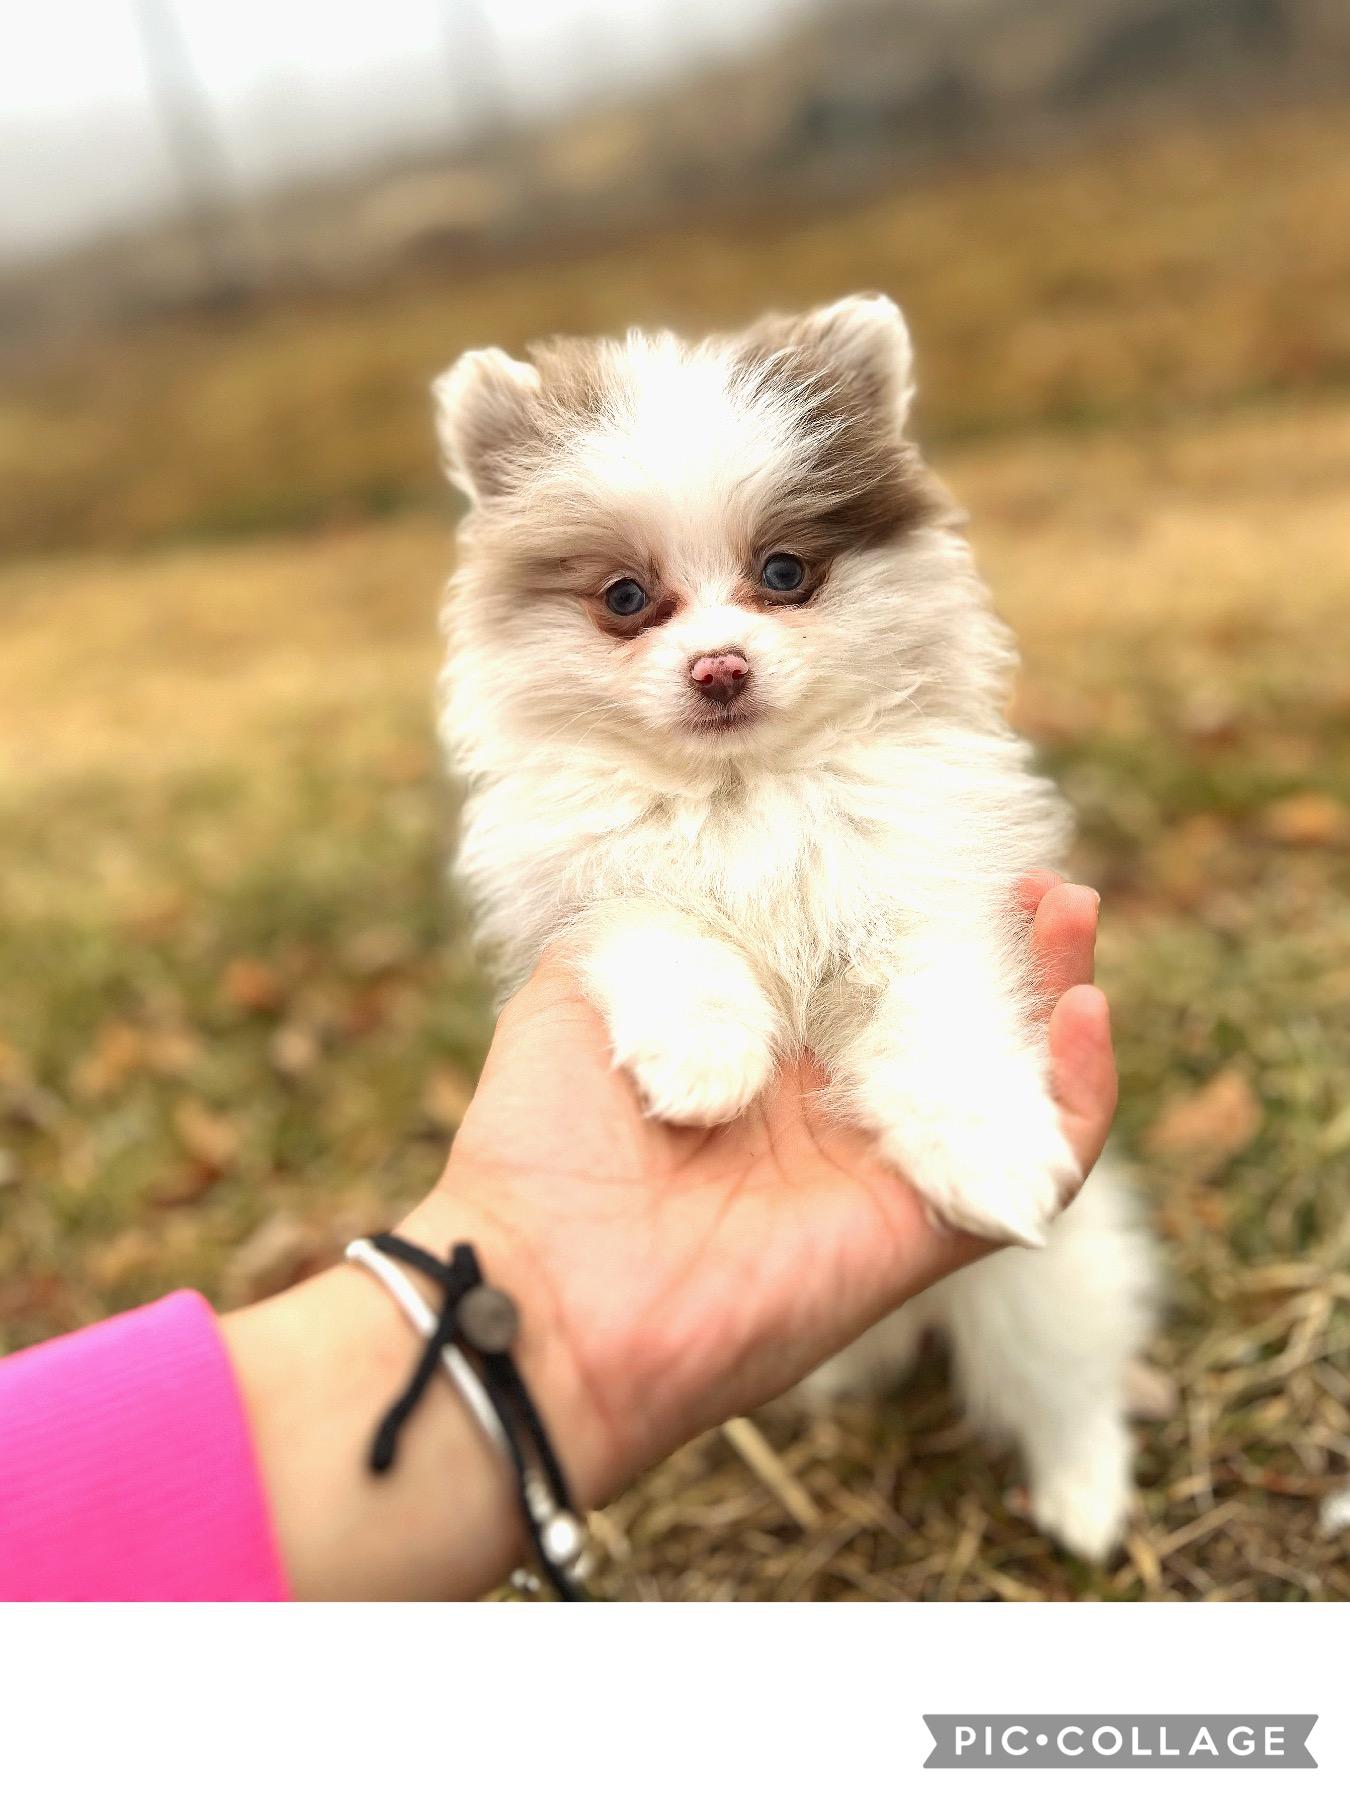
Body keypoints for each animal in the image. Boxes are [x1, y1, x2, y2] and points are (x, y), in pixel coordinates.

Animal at [433, 294, 1156, 1560]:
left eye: (785, 571)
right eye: (625, 598)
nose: (719, 666)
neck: (742, 791)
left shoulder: (922, 898)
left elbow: (940, 1034)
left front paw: (986, 1150)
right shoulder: (596, 893)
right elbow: (670, 934)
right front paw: (705, 1055)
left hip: (1041, 1289)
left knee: (1062, 1374)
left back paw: (1084, 1497)